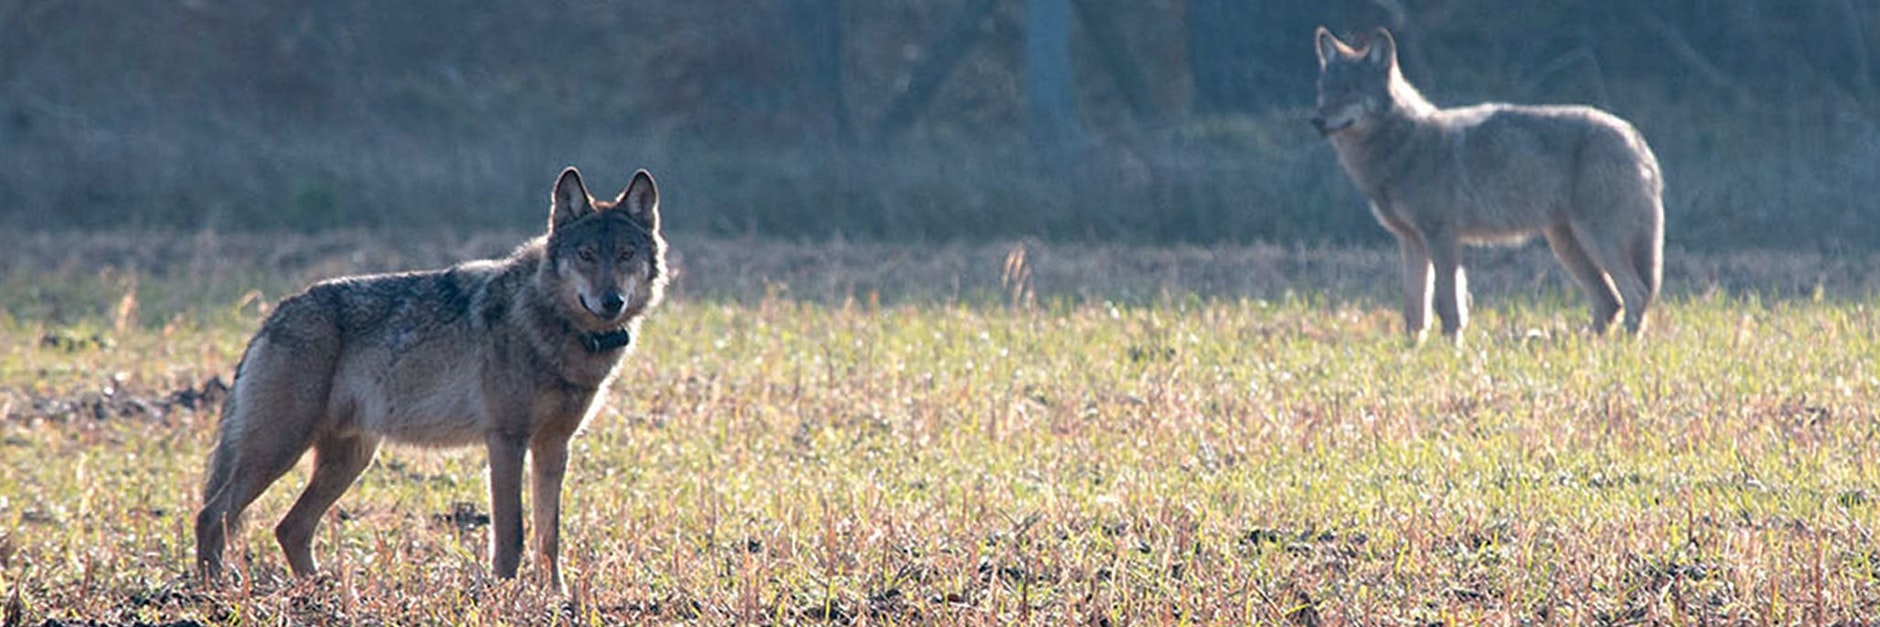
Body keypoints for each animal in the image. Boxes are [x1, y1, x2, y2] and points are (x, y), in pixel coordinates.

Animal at [195, 166, 666, 588]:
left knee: (289, 528)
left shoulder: (554, 446)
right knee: (212, 515)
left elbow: (549, 537)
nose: (611, 301)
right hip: (279, 451)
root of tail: (274, 314)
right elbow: (511, 534)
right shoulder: (506, 440)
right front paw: (504, 595)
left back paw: (319, 591)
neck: (555, 325)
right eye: (587, 255)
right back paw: (212, 592)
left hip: (348, 460)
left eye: (625, 254)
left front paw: (556, 597)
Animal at [1312, 27, 1663, 343]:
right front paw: (1412, 352)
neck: (1403, 143)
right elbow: (1415, 311)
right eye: (1324, 91)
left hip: (1597, 240)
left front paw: (1450, 351)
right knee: (1610, 301)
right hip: (1567, 245)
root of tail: (1636, 138)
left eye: (1349, 90)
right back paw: (1584, 345)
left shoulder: (1442, 238)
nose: (1315, 120)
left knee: (1636, 294)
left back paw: (1623, 347)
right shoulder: (1412, 242)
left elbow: (1448, 305)